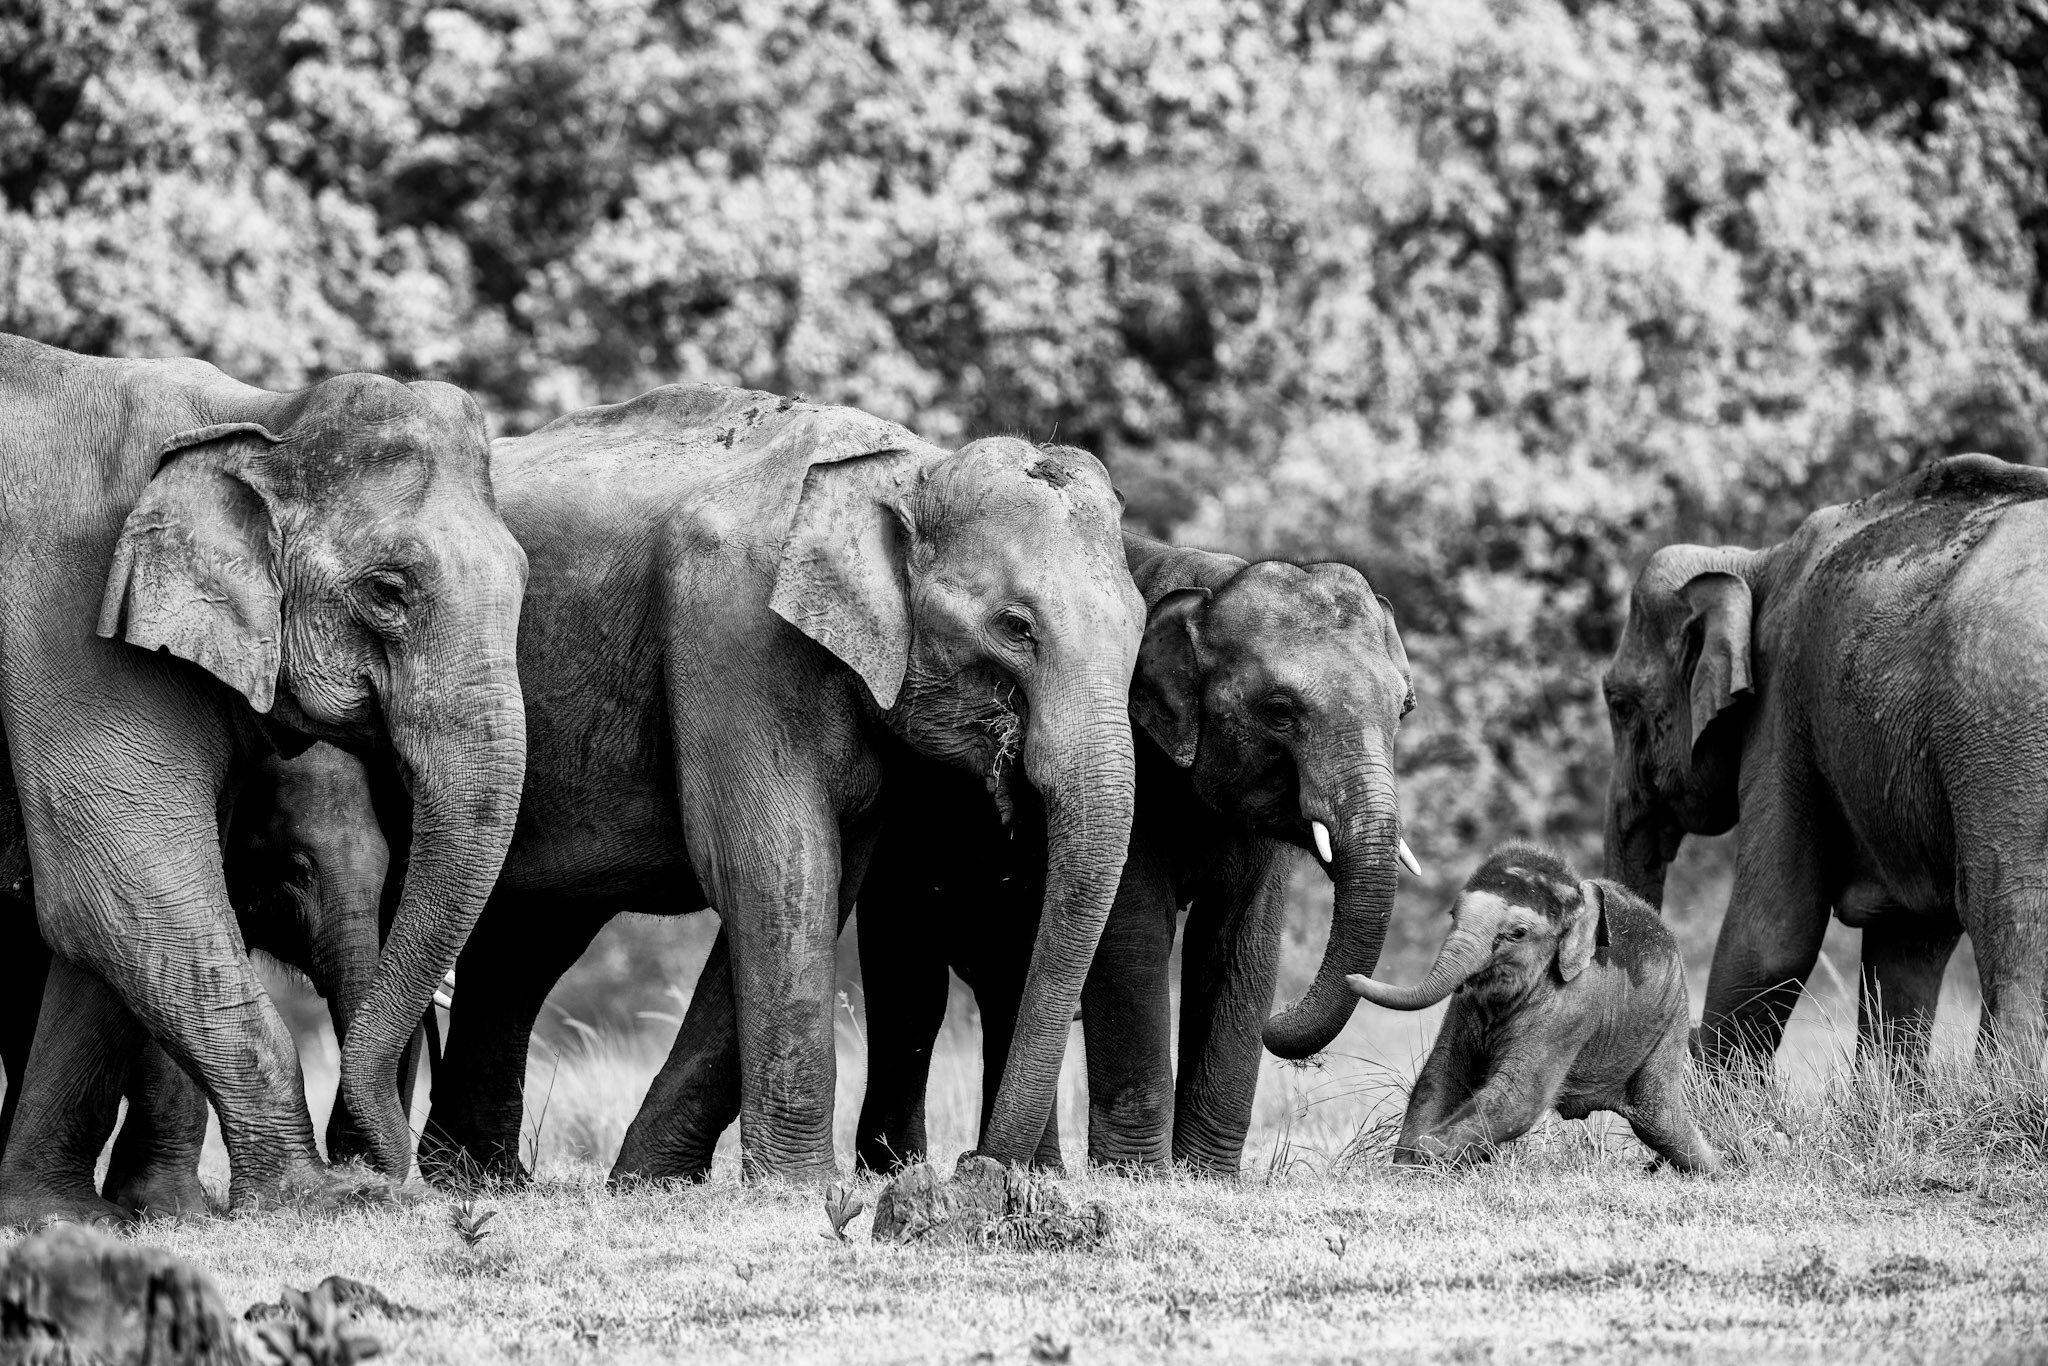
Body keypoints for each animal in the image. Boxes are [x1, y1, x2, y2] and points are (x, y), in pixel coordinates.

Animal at [0, 335, 527, 1224]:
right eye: (388, 591)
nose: (399, 1183)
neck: (258, 417)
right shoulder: (69, 626)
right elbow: (122, 891)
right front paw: (314, 1199)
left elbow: (101, 920)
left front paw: (57, 1216)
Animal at [418, 384, 1143, 1184]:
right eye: (1016, 626)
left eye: (1141, 626)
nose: (975, 1168)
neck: (910, 470)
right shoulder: (734, 626)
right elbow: (777, 865)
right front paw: (798, 1187)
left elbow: (826, 878)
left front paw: (651, 1181)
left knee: (526, 941)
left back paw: (479, 1177)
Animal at [607, 532, 1419, 1183]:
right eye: (1280, 711)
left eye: (1405, 707)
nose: (1292, 1037)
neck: (1212, 581)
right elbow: (1131, 940)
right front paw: (1142, 1181)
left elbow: (1241, 947)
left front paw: (1207, 1181)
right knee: (915, 991)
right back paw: (902, 1171)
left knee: (1004, 986)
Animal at [1350, 844, 1718, 1172]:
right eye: (1453, 915)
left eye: (1517, 933)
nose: (1351, 975)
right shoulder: (1464, 1006)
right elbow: (1440, 1078)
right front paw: (1404, 1166)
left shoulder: (1573, 1007)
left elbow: (1518, 1097)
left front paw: (1421, 1156)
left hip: (1670, 1018)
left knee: (1657, 1119)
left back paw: (1720, 1168)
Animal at [1602, 453, 2048, 1066]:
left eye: (1620, 706)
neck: (1753, 562)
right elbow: (1905, 940)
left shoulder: (1781, 714)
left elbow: (1773, 933)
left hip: (2001, 718)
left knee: (2009, 921)